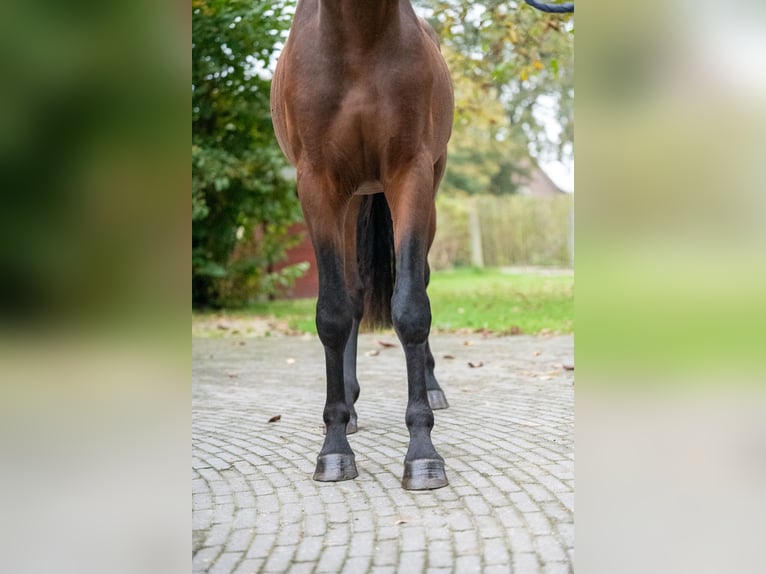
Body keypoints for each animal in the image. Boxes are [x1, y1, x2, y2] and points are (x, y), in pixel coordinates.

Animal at [272, 1, 456, 496]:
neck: (358, 36)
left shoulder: (410, 172)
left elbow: (411, 308)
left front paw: (423, 453)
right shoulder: (317, 185)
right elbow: (333, 314)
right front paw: (334, 447)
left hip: (426, 189)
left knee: (419, 280)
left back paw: (432, 386)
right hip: (351, 200)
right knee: (353, 294)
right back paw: (350, 407)